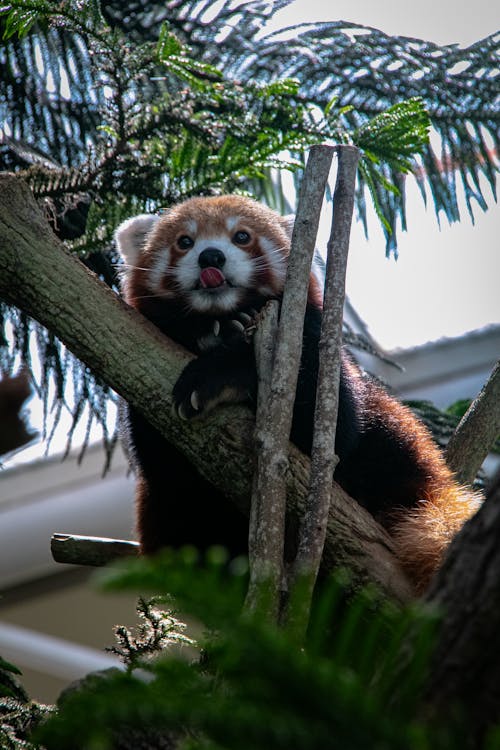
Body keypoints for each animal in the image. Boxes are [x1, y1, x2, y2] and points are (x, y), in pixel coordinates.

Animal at [116, 197, 480, 596]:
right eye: (184, 242)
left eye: (242, 236)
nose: (211, 256)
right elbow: (162, 462)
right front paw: (216, 337)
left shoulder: (318, 349)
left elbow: (335, 432)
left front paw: (224, 373)